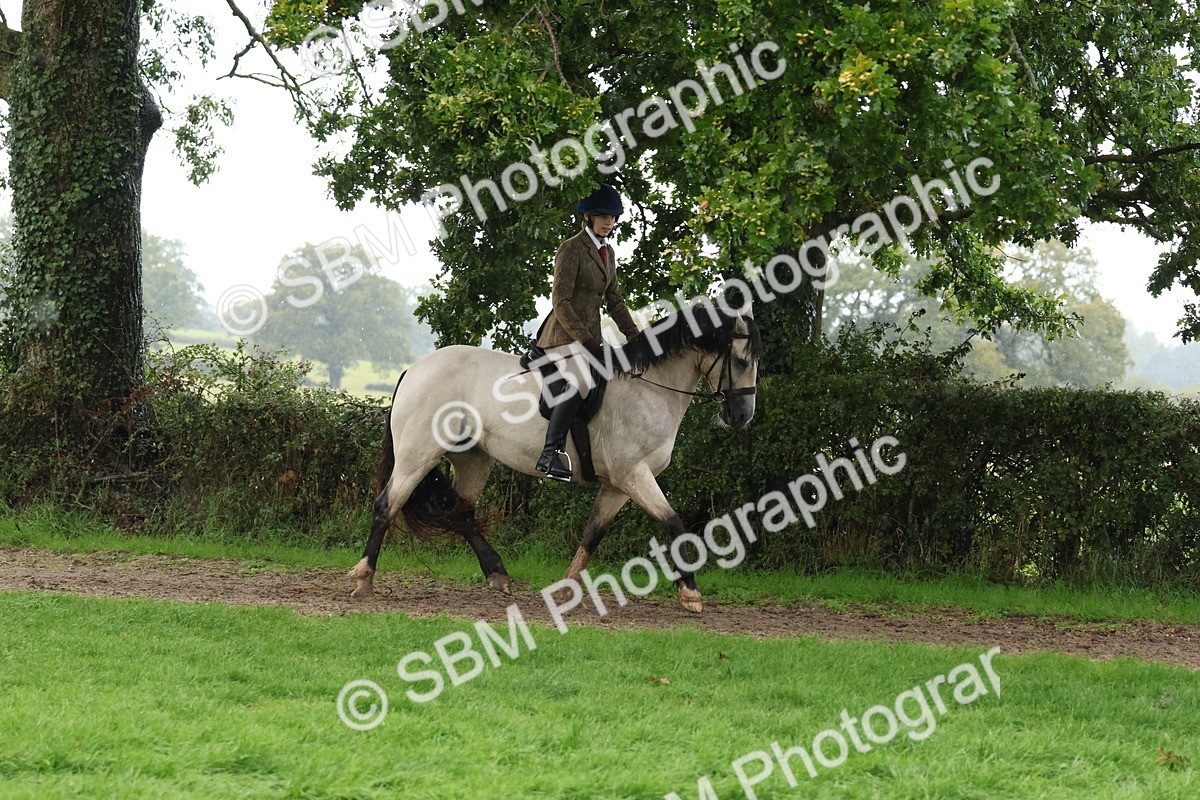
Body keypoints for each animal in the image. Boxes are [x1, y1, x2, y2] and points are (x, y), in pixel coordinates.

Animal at [348, 302, 761, 613]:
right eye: (741, 361)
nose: (743, 416)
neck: (648, 387)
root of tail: (414, 369)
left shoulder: (618, 485)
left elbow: (594, 532)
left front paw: (567, 589)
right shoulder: (634, 475)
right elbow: (673, 523)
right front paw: (690, 593)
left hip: (473, 459)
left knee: (461, 513)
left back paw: (497, 574)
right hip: (417, 454)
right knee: (388, 504)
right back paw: (364, 580)